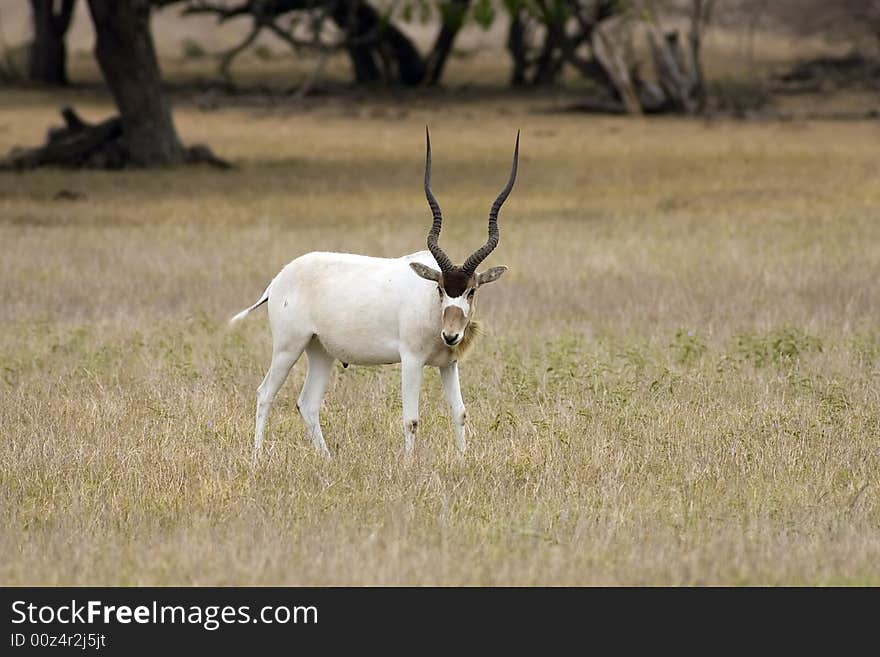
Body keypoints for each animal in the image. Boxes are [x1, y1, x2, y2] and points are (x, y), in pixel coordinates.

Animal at [230, 125, 520, 458]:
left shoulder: (449, 364)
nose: (451, 336)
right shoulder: (411, 360)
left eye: (471, 291)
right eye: (439, 288)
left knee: (308, 403)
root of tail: (279, 279)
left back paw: (327, 459)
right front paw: (409, 463)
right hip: (288, 347)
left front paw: (461, 459)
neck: (431, 309)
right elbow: (411, 419)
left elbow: (459, 412)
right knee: (265, 393)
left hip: (320, 351)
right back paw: (257, 457)